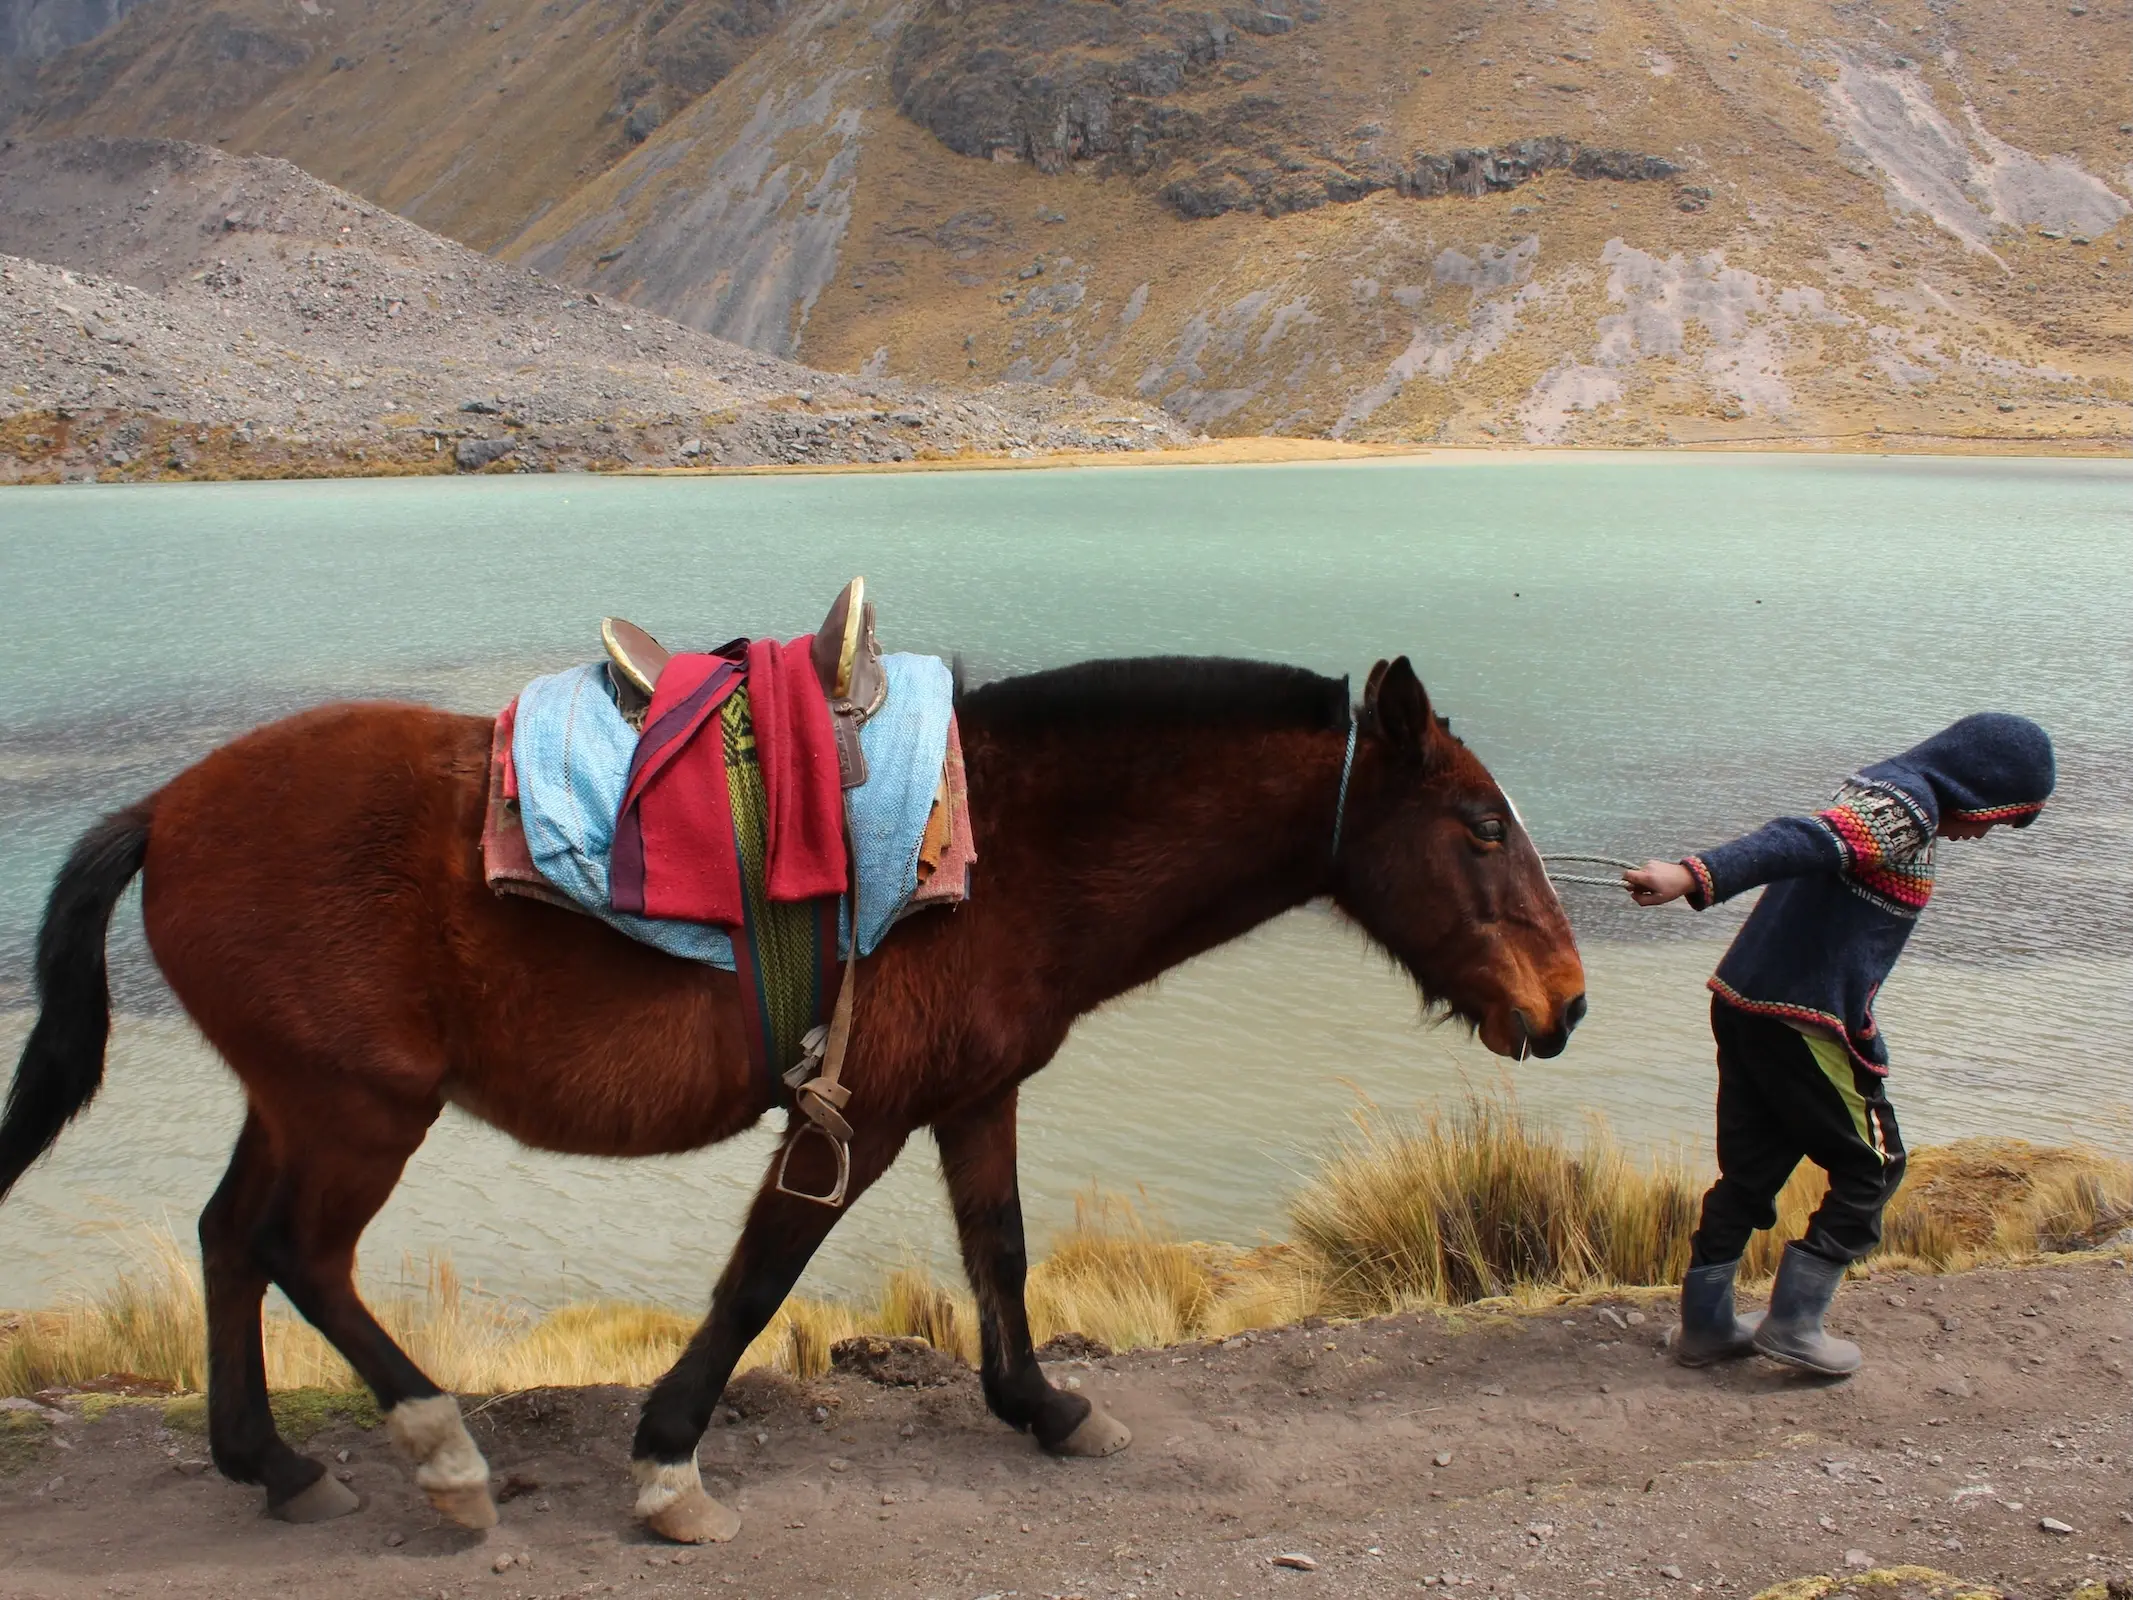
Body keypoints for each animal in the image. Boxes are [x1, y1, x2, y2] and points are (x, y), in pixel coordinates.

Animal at [0, 652, 1586, 1543]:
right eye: (1478, 824)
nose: (1566, 1003)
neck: (1002, 850)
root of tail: (169, 807)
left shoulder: (973, 1097)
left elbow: (1001, 1251)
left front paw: (1046, 1407)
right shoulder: (856, 1115)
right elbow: (762, 1275)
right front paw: (665, 1468)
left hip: (296, 1097)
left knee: (226, 1239)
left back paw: (270, 1464)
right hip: (360, 1110)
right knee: (298, 1253)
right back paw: (442, 1459)